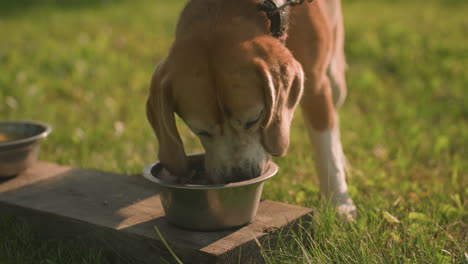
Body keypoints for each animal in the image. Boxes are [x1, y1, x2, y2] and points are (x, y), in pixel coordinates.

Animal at [148, 0, 356, 219]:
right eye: (200, 131)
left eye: (255, 119)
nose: (238, 176)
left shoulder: (316, 88)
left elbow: (327, 149)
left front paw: (339, 205)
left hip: (336, 82)